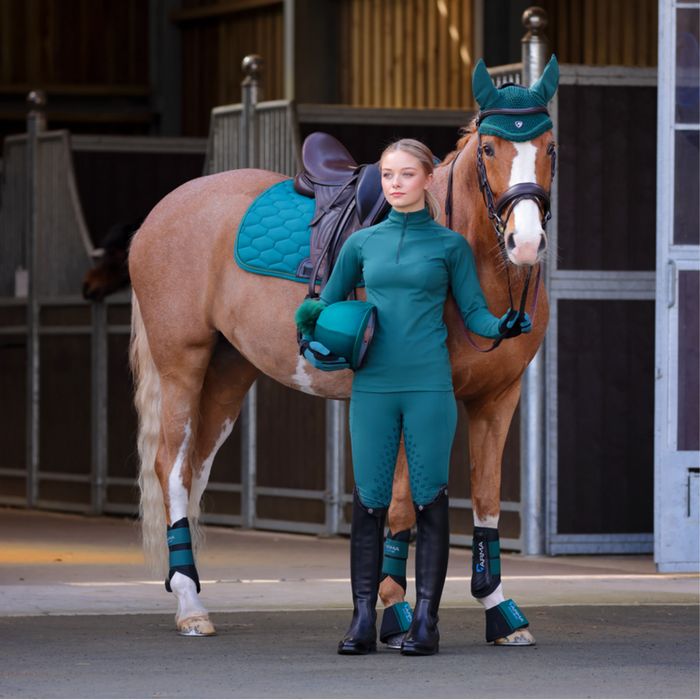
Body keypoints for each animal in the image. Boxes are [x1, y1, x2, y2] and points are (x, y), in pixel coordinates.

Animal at [129, 60, 557, 644]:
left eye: (551, 147)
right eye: (490, 148)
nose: (526, 243)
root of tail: (159, 214)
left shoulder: (497, 399)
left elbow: (487, 500)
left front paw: (498, 609)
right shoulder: (412, 398)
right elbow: (400, 506)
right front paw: (397, 614)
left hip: (228, 373)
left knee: (194, 468)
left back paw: (189, 592)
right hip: (182, 364)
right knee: (171, 467)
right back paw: (190, 605)